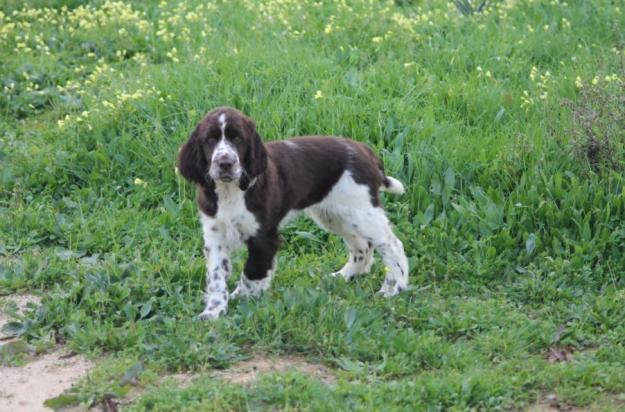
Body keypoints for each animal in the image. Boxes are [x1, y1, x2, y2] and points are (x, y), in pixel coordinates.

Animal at [177, 107, 410, 318]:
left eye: (238, 140)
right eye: (210, 140)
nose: (225, 163)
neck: (230, 191)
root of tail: (365, 150)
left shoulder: (264, 236)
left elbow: (252, 272)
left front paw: (242, 298)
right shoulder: (215, 235)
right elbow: (216, 276)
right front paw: (213, 311)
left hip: (362, 212)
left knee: (392, 245)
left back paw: (394, 289)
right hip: (336, 215)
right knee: (362, 246)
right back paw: (344, 275)